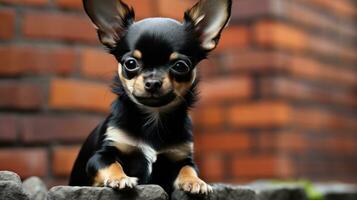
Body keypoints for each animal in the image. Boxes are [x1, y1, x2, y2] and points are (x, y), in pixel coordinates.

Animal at [69, 0, 231, 195]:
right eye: (131, 63)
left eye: (180, 66)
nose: (153, 82)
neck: (154, 116)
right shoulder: (100, 155)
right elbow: (111, 164)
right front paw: (120, 178)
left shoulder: (181, 156)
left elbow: (188, 168)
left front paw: (196, 181)